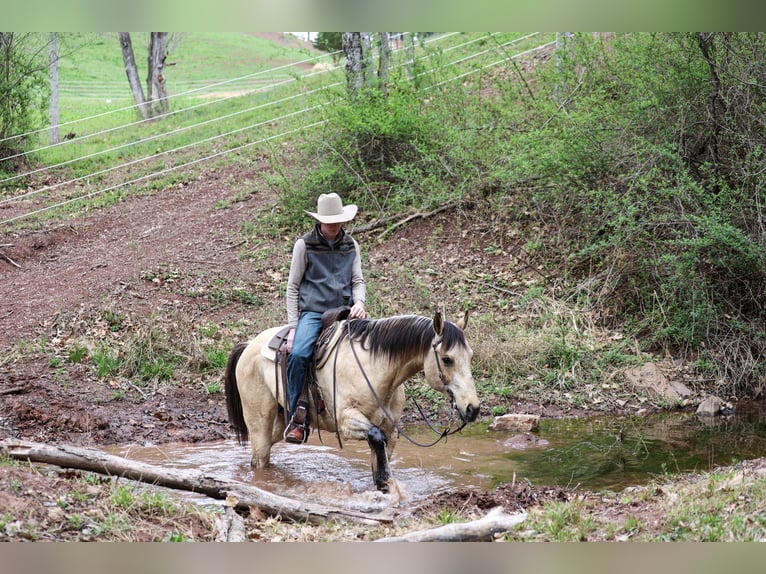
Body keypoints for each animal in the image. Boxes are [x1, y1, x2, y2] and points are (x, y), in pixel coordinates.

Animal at [224, 310, 480, 492]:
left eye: (470, 357)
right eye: (447, 359)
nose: (473, 408)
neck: (374, 369)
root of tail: (249, 345)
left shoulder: (391, 432)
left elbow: (381, 462)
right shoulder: (347, 423)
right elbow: (376, 438)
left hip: (278, 424)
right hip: (259, 422)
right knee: (259, 458)